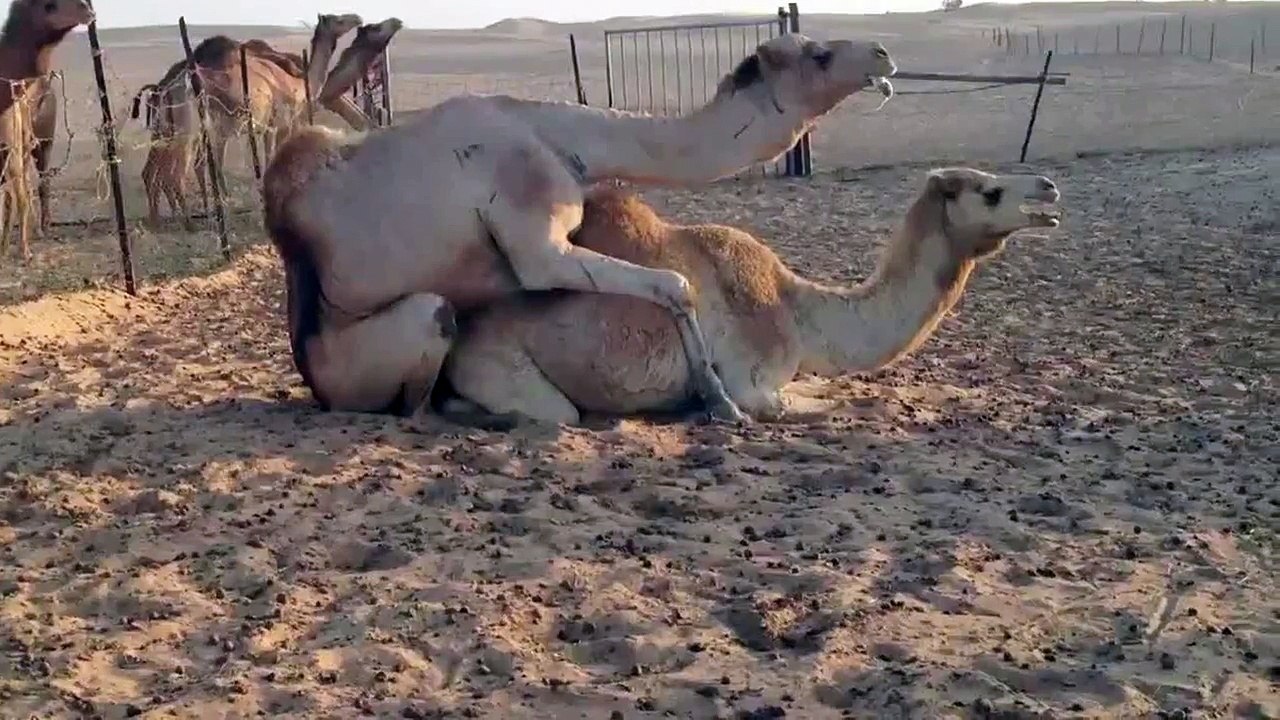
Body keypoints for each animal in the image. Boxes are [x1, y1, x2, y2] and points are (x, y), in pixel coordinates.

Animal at [0, 0, 93, 256]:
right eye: (49, 5)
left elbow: (18, 193)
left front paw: (24, 251)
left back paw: (37, 234)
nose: (88, 8)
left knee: (36, 183)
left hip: (41, 140)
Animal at [262, 33, 899, 425]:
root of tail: (314, 381)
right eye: (818, 55)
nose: (882, 55)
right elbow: (676, 285)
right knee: (426, 335)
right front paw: (721, 402)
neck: (562, 142)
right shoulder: (536, 244)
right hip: (359, 367)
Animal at [440, 167, 1063, 424]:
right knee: (551, 412)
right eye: (989, 192)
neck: (796, 309)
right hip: (506, 371)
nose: (1049, 190)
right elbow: (829, 405)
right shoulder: (756, 382)